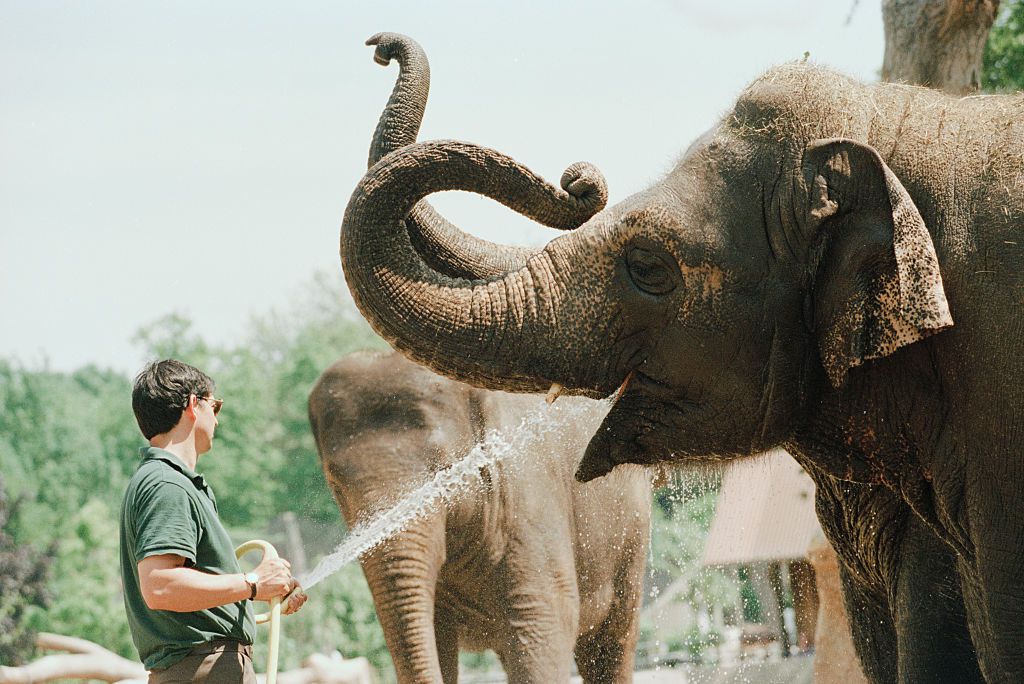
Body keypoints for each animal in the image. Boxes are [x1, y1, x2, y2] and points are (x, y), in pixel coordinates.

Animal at [307, 352, 651, 684]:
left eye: (445, 473)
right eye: (335, 486)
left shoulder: (528, 489)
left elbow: (545, 618)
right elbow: (433, 633)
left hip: (630, 534)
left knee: (611, 642)